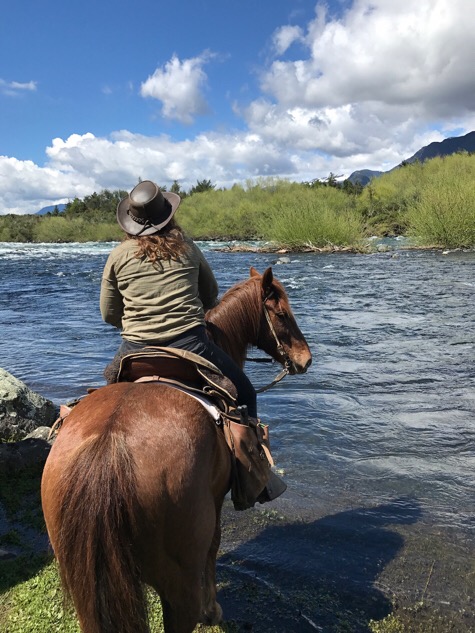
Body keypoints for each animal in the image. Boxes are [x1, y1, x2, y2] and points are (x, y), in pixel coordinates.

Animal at [41, 266, 312, 632]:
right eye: (281, 313)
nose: (305, 359)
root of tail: (108, 446)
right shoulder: (216, 500)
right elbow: (213, 548)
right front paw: (212, 610)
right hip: (178, 587)